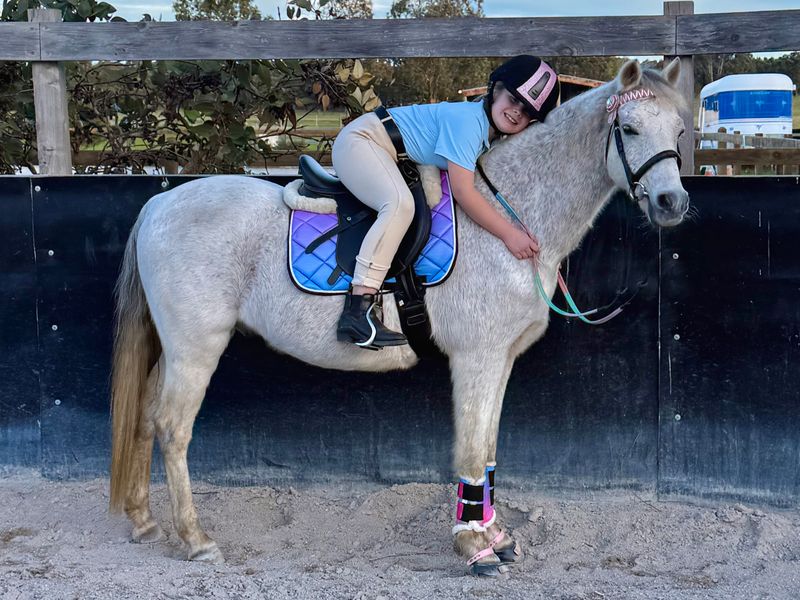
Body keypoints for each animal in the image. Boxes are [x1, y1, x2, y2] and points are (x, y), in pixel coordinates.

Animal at [109, 58, 689, 576]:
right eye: (630, 127)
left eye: (680, 130)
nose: (671, 202)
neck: (510, 216)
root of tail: (158, 206)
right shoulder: (476, 358)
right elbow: (472, 451)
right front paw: (474, 548)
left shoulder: (500, 359)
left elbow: (489, 450)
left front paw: (496, 537)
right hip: (196, 347)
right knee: (172, 427)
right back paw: (195, 540)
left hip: (171, 348)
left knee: (144, 416)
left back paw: (142, 521)